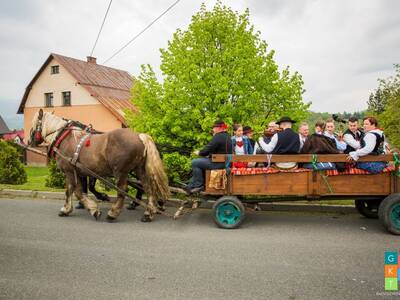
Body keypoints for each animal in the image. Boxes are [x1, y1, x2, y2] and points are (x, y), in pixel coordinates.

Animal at [28, 109, 170, 221]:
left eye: (33, 125)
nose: (29, 141)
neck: (64, 138)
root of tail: (139, 136)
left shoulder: (69, 171)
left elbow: (72, 191)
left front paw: (88, 209)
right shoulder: (80, 172)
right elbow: (80, 191)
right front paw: (81, 207)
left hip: (121, 172)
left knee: (123, 190)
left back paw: (113, 213)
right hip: (139, 169)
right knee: (148, 187)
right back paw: (148, 213)